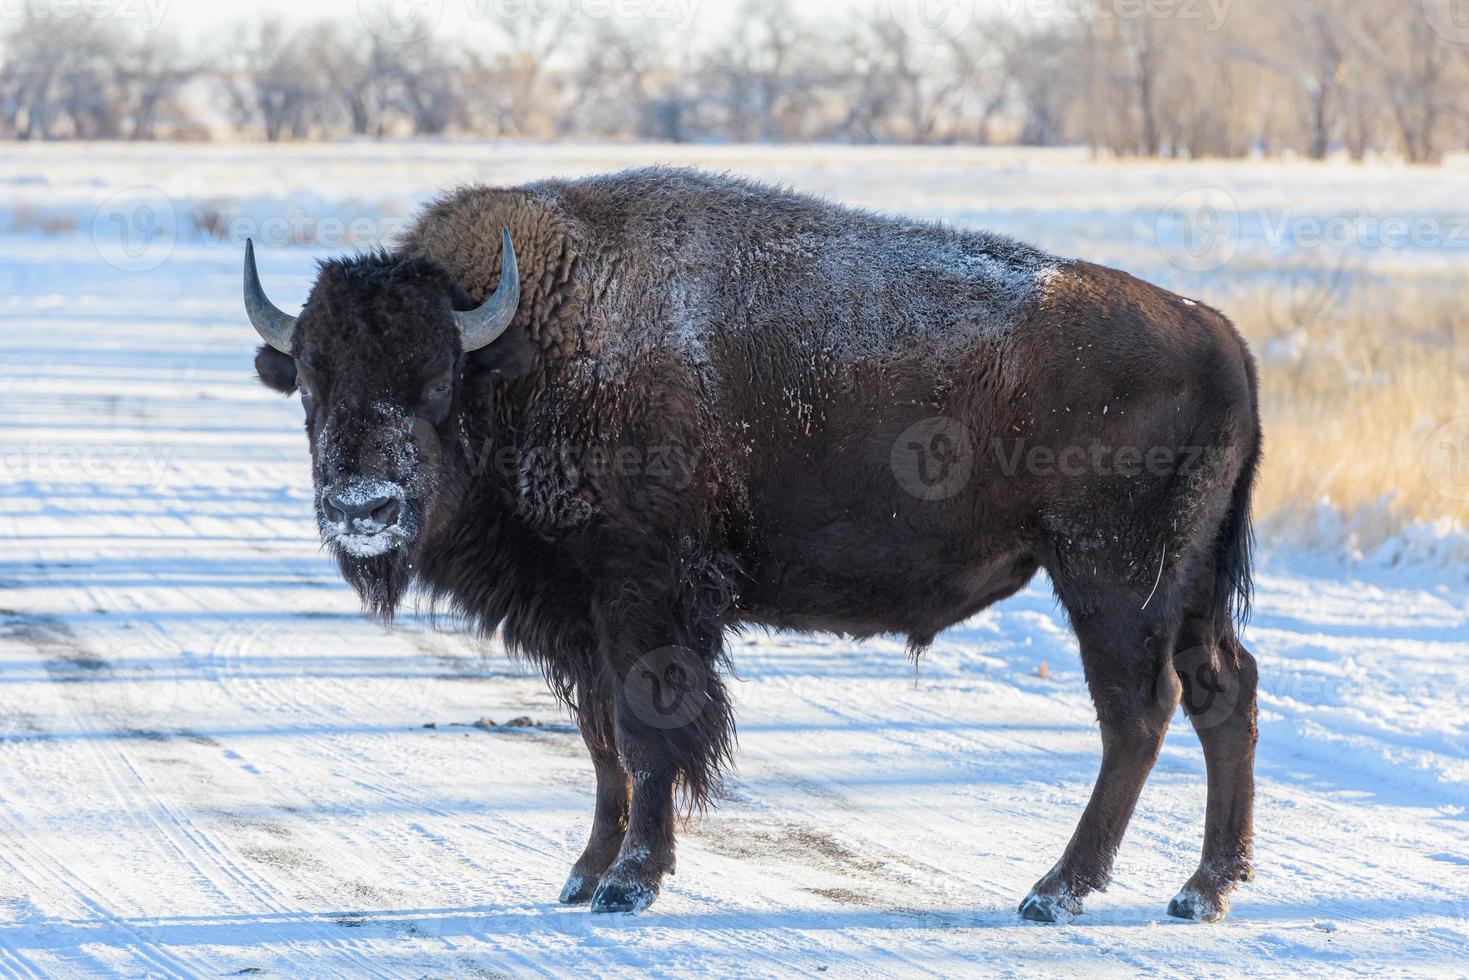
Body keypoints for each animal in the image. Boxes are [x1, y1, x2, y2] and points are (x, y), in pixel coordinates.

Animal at [243, 164, 1263, 922]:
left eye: (434, 382)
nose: (362, 506)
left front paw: (629, 884)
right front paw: (583, 874)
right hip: (1186, 588)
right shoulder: (579, 617)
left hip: (1110, 582)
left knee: (1137, 714)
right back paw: (1199, 891)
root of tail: (1215, 331)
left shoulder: (646, 597)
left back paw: (1056, 892)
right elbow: (602, 741)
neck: (531, 345)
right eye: (311, 384)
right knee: (1223, 692)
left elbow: (648, 733)